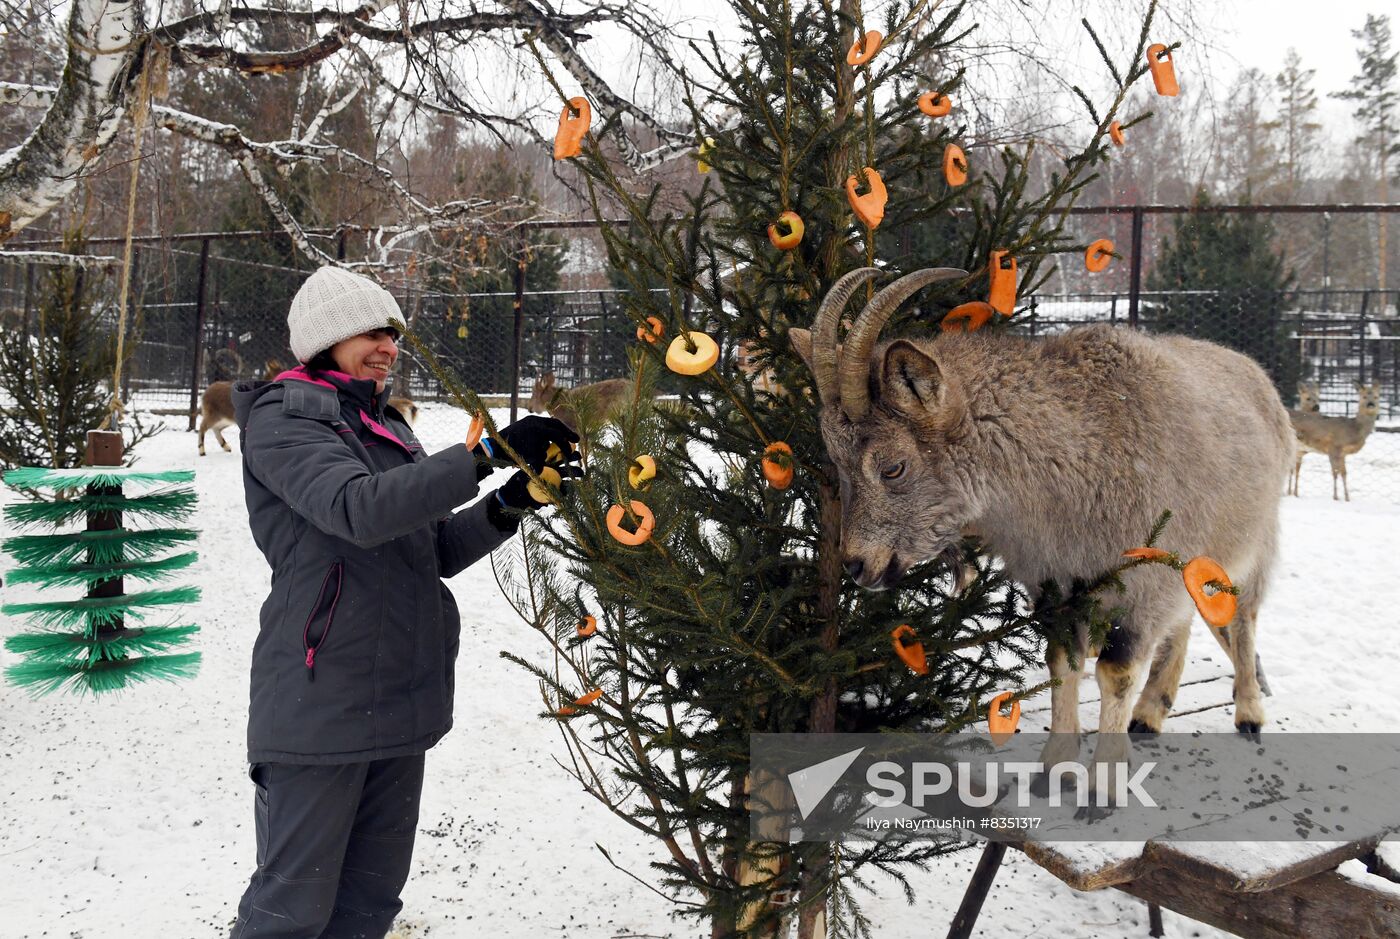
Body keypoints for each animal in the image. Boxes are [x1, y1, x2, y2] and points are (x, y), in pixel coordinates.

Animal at [795, 265, 1293, 800]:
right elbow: (1061, 662)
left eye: (892, 467)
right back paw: (1150, 712)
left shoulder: (1142, 582)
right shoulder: (1056, 584)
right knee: (1183, 622)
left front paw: (1104, 788)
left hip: (1256, 541)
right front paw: (1055, 769)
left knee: (1242, 617)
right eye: (837, 461)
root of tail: (1259, 378)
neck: (1078, 458)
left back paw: (1248, 713)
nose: (857, 564)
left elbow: (1115, 672)